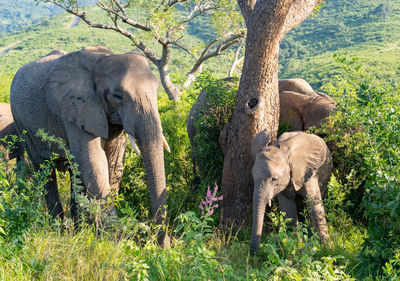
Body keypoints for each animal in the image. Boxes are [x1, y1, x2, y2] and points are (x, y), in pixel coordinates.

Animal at [10, 47, 170, 246]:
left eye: (157, 91)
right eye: (117, 96)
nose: (162, 246)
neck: (103, 59)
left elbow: (114, 163)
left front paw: (102, 236)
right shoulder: (76, 107)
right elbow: (94, 163)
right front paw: (116, 242)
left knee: (75, 173)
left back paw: (78, 230)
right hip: (21, 122)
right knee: (44, 170)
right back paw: (60, 230)